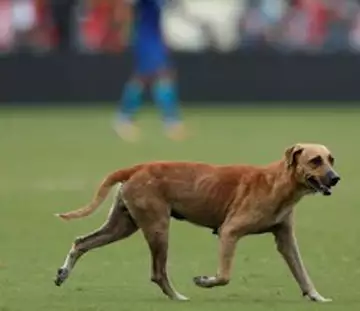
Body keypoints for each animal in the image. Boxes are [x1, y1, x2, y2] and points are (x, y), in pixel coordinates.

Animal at [54, 145, 340, 304]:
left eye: (331, 159)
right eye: (315, 160)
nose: (336, 178)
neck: (277, 182)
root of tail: (137, 167)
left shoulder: (285, 240)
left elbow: (302, 273)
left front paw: (316, 296)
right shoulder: (229, 232)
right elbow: (223, 276)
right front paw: (204, 281)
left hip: (122, 226)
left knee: (82, 242)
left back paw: (63, 273)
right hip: (158, 228)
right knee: (158, 272)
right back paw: (178, 297)